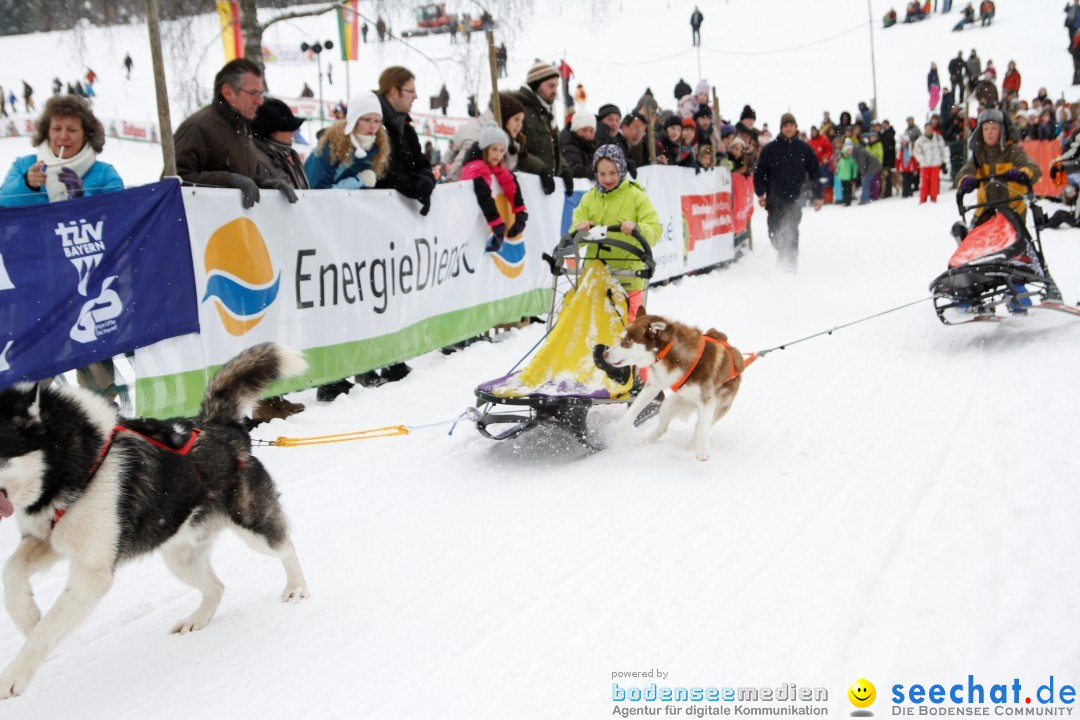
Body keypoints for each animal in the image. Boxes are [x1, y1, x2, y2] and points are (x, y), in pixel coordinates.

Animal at [1, 343, 313, 699]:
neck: (80, 465)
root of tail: (220, 426)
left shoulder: (91, 573)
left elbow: (47, 629)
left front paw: (13, 676)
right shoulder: (46, 539)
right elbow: (11, 571)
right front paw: (27, 616)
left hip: (253, 527)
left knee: (286, 547)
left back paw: (296, 588)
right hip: (180, 556)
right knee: (217, 587)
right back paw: (197, 620)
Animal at [609, 313, 751, 462]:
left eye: (627, 342)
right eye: (622, 339)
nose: (604, 354)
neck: (669, 352)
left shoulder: (707, 401)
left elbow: (702, 430)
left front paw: (703, 452)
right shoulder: (654, 384)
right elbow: (634, 408)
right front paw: (620, 429)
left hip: (716, 408)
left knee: (700, 427)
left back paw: (691, 446)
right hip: (669, 404)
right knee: (662, 428)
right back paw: (644, 442)